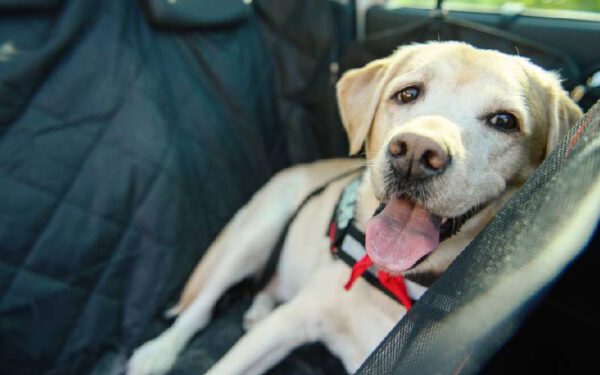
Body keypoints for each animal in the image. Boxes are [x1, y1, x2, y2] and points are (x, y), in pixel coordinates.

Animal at [126, 41, 580, 375]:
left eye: (504, 121)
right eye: (408, 93)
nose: (415, 153)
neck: (398, 282)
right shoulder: (290, 322)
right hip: (257, 230)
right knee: (200, 309)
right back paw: (157, 353)